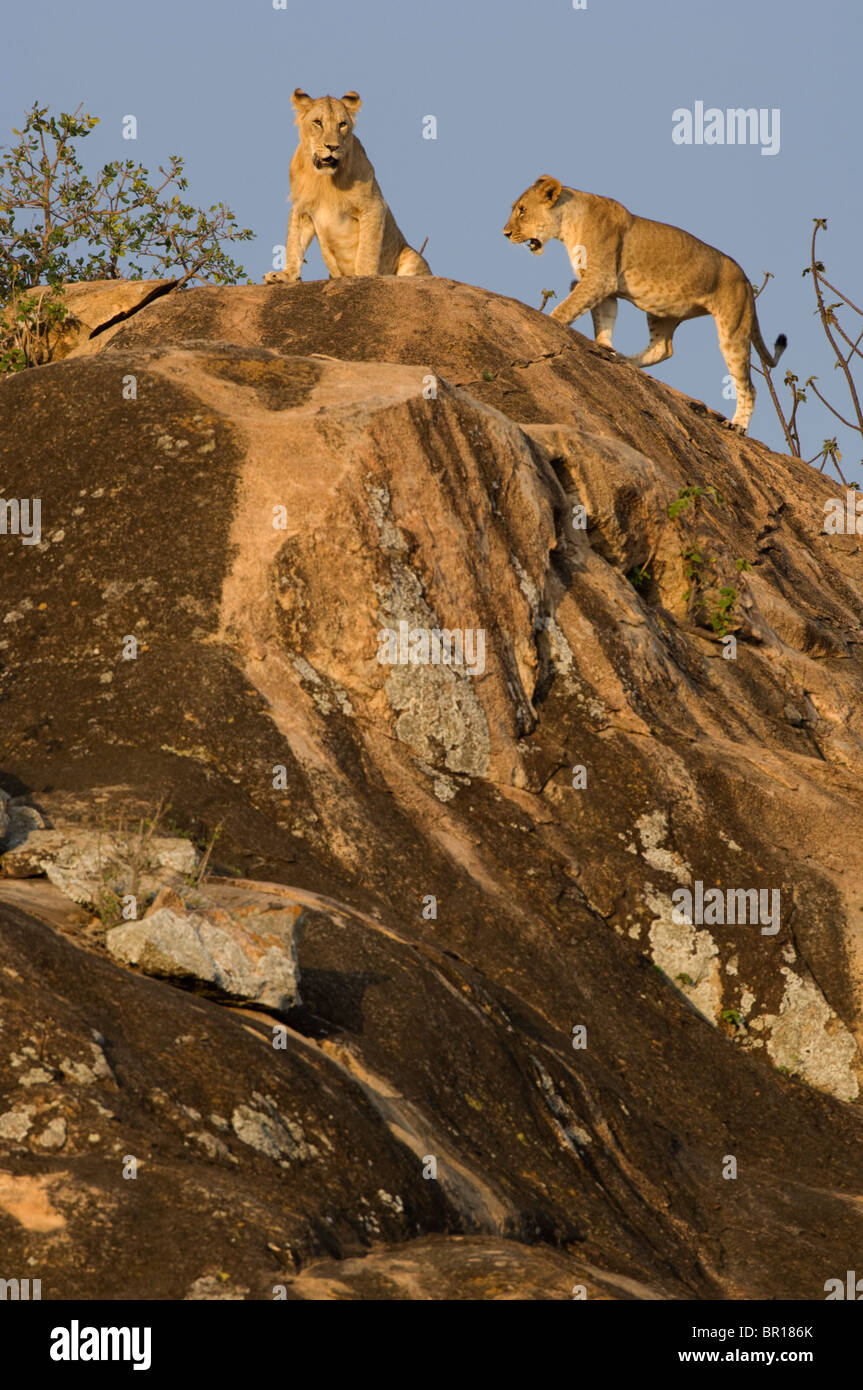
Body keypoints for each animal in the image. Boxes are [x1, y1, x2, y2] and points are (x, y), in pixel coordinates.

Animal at [264, 89, 431, 283]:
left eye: (342, 124)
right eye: (317, 122)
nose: (332, 147)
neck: (324, 179)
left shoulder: (374, 205)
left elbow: (367, 249)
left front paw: (364, 275)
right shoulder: (301, 208)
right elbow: (294, 242)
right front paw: (285, 275)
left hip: (411, 256)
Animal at [503, 176, 786, 434]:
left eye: (522, 210)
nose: (505, 234)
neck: (568, 222)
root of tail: (746, 280)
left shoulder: (600, 278)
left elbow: (566, 309)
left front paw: (549, 322)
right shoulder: (605, 288)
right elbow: (604, 320)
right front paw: (603, 347)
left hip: (733, 326)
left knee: (748, 386)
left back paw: (737, 425)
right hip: (662, 311)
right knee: (663, 348)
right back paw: (623, 359)